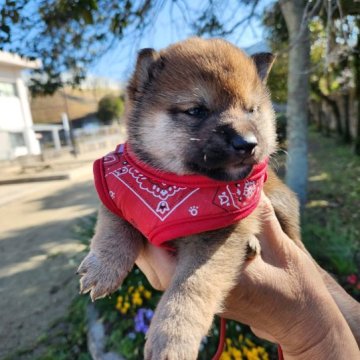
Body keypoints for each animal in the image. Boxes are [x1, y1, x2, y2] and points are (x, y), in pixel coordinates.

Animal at [76, 38, 358, 358]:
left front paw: (172, 338)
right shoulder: (117, 193)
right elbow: (114, 228)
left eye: (251, 110)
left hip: (281, 202)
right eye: (197, 110)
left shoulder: (218, 238)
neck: (174, 185)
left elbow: (192, 286)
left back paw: (252, 246)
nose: (247, 143)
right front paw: (103, 268)